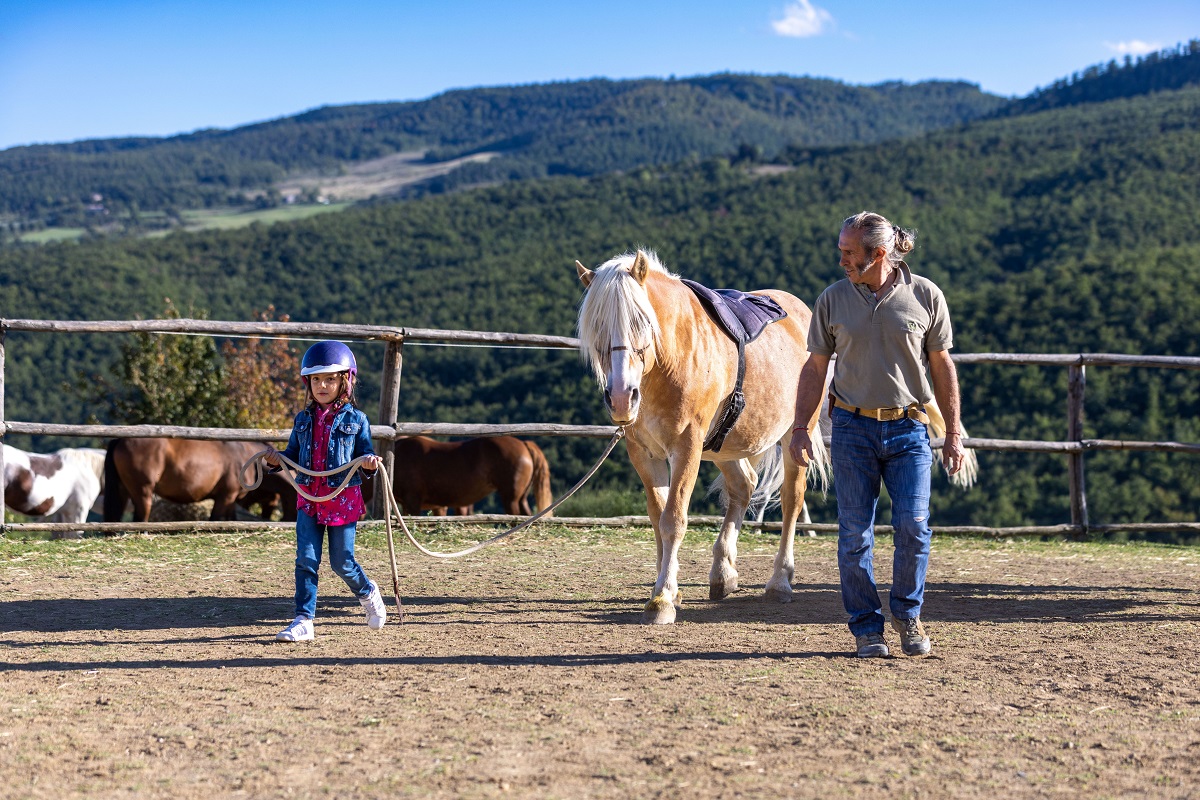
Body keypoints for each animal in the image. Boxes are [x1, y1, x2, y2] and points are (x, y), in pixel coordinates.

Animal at [102, 438, 272, 525]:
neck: (244, 453)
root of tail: (121, 440)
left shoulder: (230, 500)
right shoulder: (226, 497)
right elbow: (215, 519)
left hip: (122, 491)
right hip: (143, 492)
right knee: (140, 519)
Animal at [576, 250, 830, 623]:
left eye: (642, 323)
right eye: (597, 327)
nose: (622, 398)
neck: (669, 360)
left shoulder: (687, 447)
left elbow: (673, 519)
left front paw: (663, 599)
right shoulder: (643, 452)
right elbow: (657, 518)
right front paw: (667, 588)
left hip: (796, 436)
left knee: (791, 500)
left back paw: (780, 581)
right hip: (725, 447)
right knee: (743, 487)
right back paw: (724, 574)